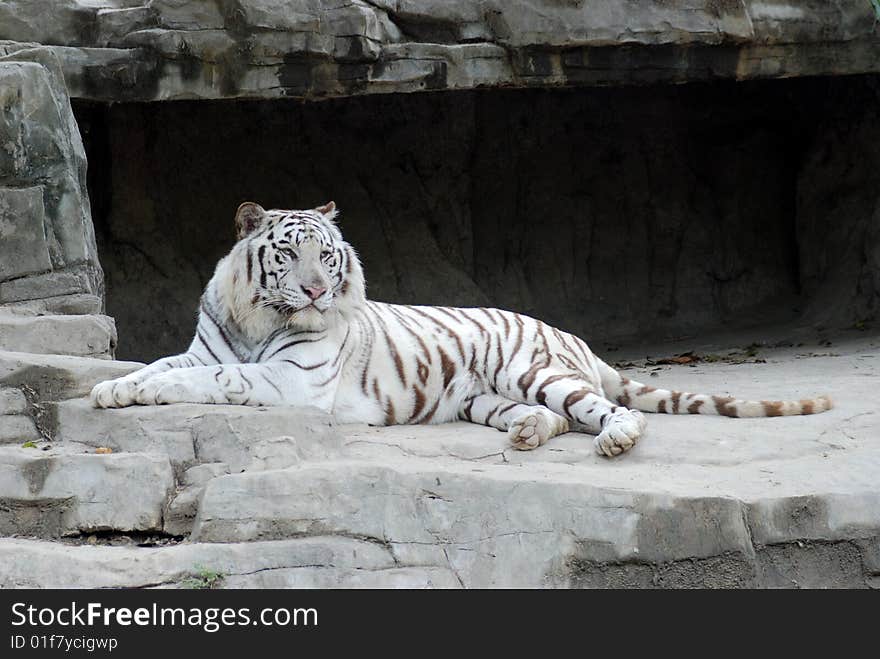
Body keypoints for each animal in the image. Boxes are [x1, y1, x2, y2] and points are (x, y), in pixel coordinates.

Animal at [93, 204, 836, 456]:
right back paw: (528, 433)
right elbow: (164, 366)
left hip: (531, 368)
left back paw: (616, 439)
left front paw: (132, 392)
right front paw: (112, 388)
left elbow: (217, 376)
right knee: (556, 416)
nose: (316, 290)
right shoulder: (204, 347)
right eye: (289, 253)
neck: (259, 316)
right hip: (481, 394)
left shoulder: (291, 379)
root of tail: (576, 337)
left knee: (611, 410)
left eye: (326, 256)